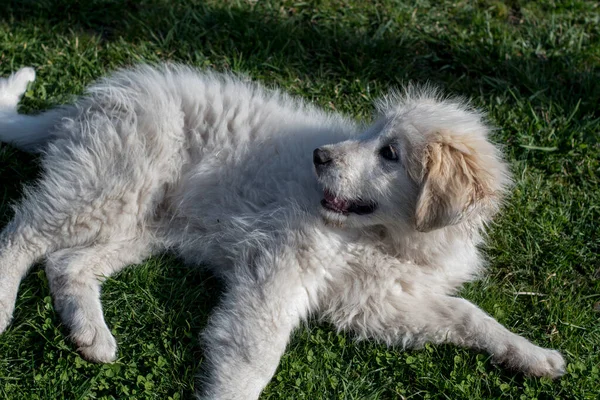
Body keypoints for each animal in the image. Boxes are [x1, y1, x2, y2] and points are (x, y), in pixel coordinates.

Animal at [0, 65, 564, 396]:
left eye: (389, 153)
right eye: (373, 136)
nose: (320, 156)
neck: (387, 239)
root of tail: (91, 101)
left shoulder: (379, 300)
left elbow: (467, 314)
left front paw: (533, 356)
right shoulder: (281, 267)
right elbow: (256, 357)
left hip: (143, 221)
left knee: (66, 261)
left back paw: (91, 337)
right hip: (112, 183)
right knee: (21, 236)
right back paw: (5, 309)